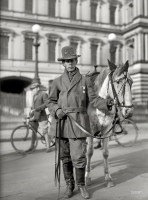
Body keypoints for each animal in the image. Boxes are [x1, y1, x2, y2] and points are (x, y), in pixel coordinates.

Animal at [85, 59, 134, 188]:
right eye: (118, 81)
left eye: (131, 82)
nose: (129, 111)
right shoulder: (90, 129)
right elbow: (89, 152)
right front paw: (87, 177)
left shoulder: (106, 129)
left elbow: (105, 153)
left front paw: (108, 177)